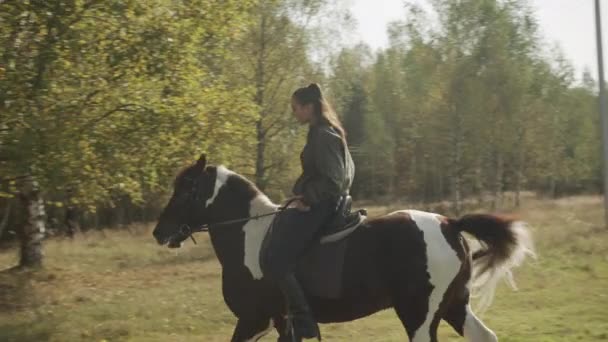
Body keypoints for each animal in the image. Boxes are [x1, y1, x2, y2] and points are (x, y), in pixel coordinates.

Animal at [154, 156, 536, 342]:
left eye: (186, 189)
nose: (160, 232)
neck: (250, 237)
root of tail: (449, 224)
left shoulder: (253, 319)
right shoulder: (278, 323)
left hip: (419, 315)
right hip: (454, 306)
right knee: (485, 336)